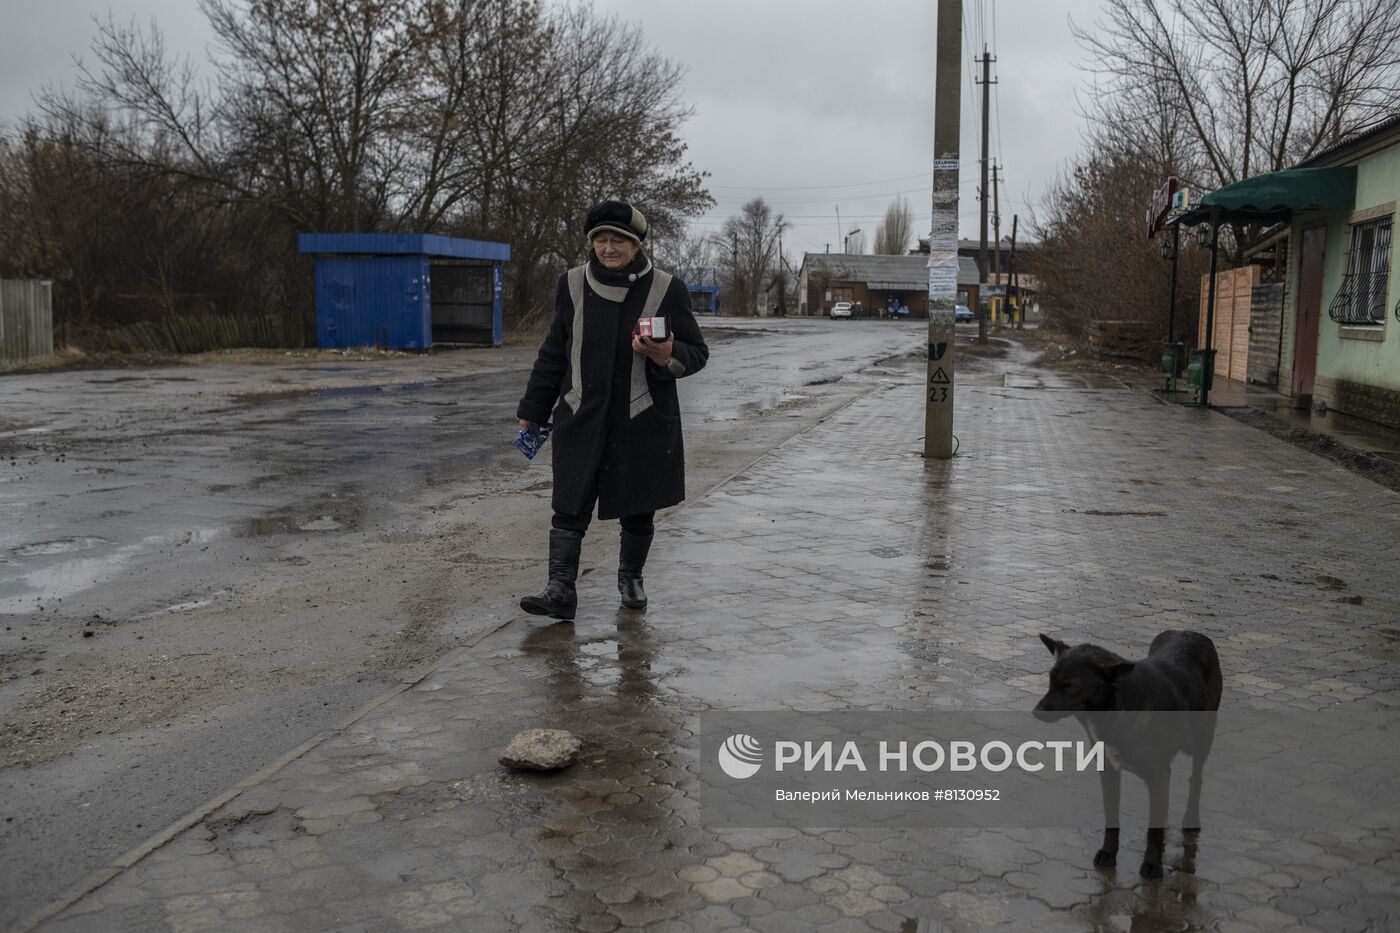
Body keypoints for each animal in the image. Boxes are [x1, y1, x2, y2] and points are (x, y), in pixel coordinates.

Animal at [1036, 627, 1220, 874]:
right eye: (1051, 680)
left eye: (1070, 685)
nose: (1036, 712)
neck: (1116, 712)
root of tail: (1189, 632)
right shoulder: (1109, 770)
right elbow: (1112, 816)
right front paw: (1109, 853)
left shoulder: (1160, 775)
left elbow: (1154, 830)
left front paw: (1152, 865)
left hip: (1201, 739)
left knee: (1196, 779)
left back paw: (1191, 819)